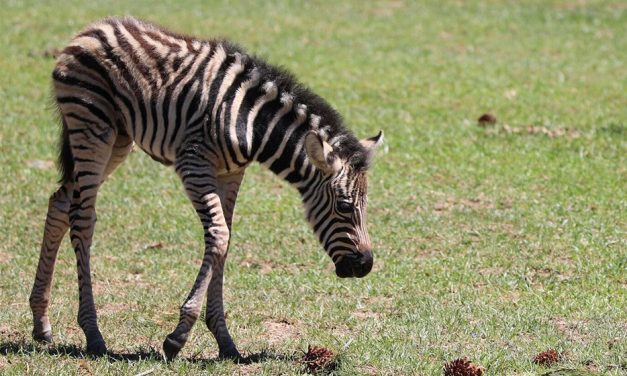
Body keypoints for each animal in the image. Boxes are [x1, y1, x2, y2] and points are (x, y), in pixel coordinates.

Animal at [29, 16, 386, 360]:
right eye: (344, 206)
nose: (366, 265)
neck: (252, 123)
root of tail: (91, 29)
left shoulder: (232, 172)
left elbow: (226, 239)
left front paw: (225, 340)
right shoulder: (194, 164)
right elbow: (218, 235)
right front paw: (177, 337)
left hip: (118, 138)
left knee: (60, 203)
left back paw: (41, 324)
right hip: (91, 127)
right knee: (82, 219)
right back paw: (93, 334)